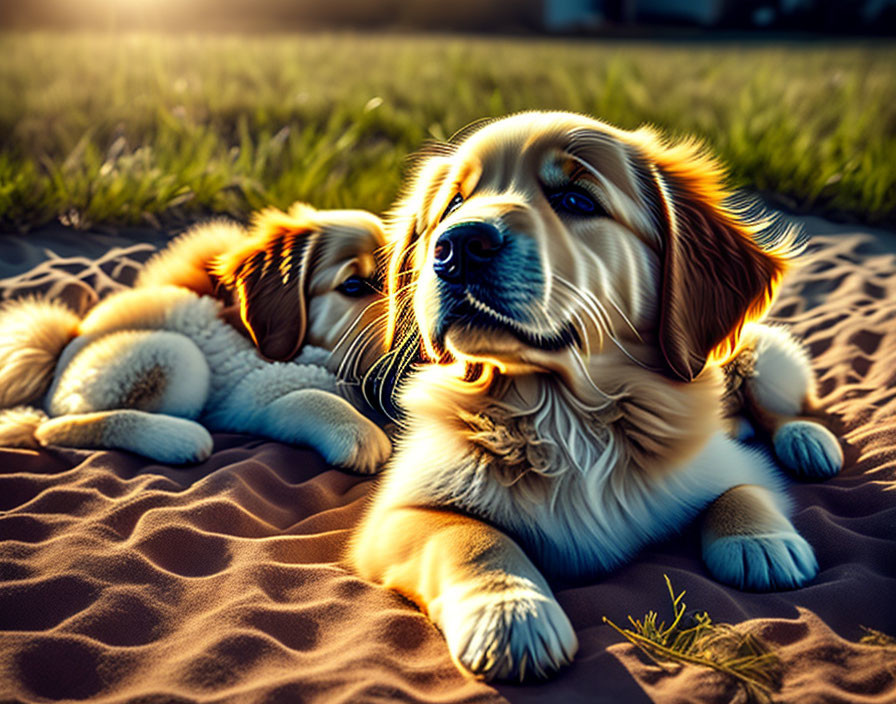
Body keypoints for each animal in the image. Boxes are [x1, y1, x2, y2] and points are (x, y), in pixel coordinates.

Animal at [0, 201, 392, 470]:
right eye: (353, 286)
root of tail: (64, 349)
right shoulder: (249, 400)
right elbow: (313, 398)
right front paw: (359, 435)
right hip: (175, 356)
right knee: (49, 427)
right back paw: (179, 439)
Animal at [354, 113, 844, 680]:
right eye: (454, 204)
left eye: (576, 200)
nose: (456, 246)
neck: (563, 412)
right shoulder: (393, 515)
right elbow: (470, 536)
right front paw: (511, 614)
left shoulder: (733, 463)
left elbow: (742, 490)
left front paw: (761, 543)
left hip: (764, 354)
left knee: (784, 411)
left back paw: (807, 441)